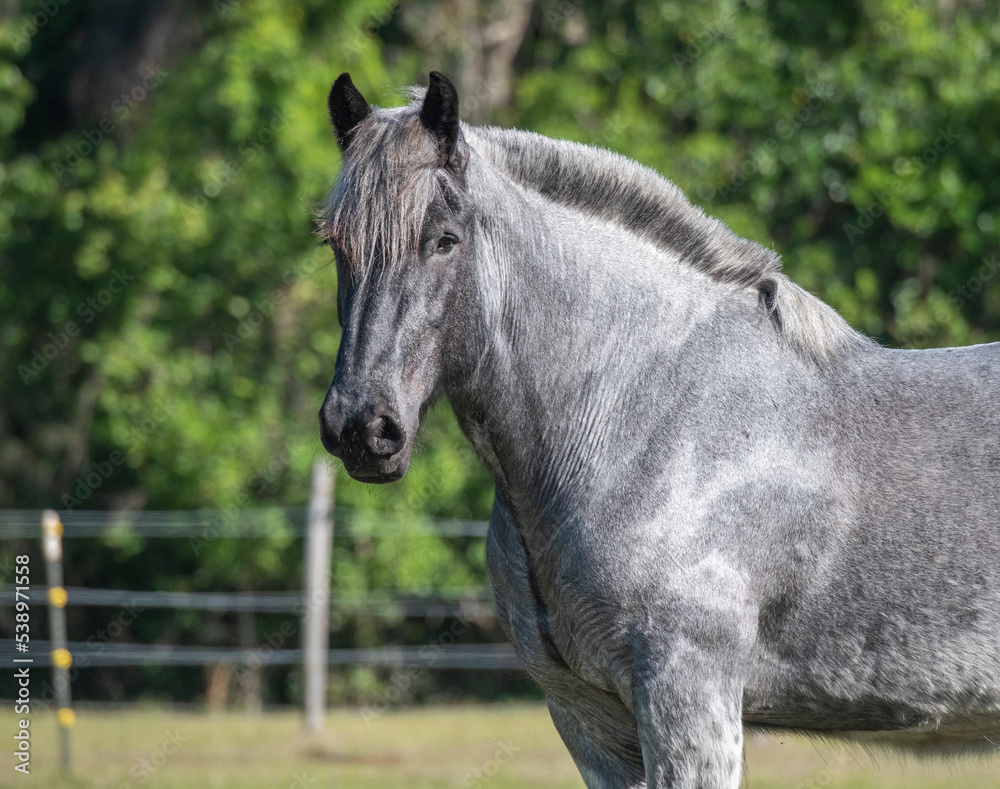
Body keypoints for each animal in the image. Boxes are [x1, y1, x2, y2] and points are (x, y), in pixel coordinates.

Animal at [317, 71, 1000, 788]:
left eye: (445, 239)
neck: (649, 419)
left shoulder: (688, 700)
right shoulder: (589, 722)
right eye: (335, 243)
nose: (362, 426)